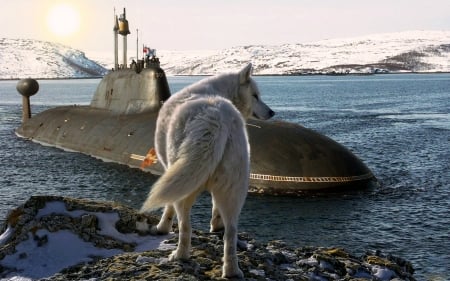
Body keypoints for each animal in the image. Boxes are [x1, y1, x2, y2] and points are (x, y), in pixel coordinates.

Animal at [141, 63, 274, 276]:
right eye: (255, 95)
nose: (271, 112)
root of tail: (216, 118)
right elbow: (215, 207)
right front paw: (216, 225)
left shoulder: (170, 168)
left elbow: (168, 205)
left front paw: (162, 227)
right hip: (234, 185)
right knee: (231, 231)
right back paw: (231, 270)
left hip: (186, 178)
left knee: (185, 226)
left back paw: (180, 255)